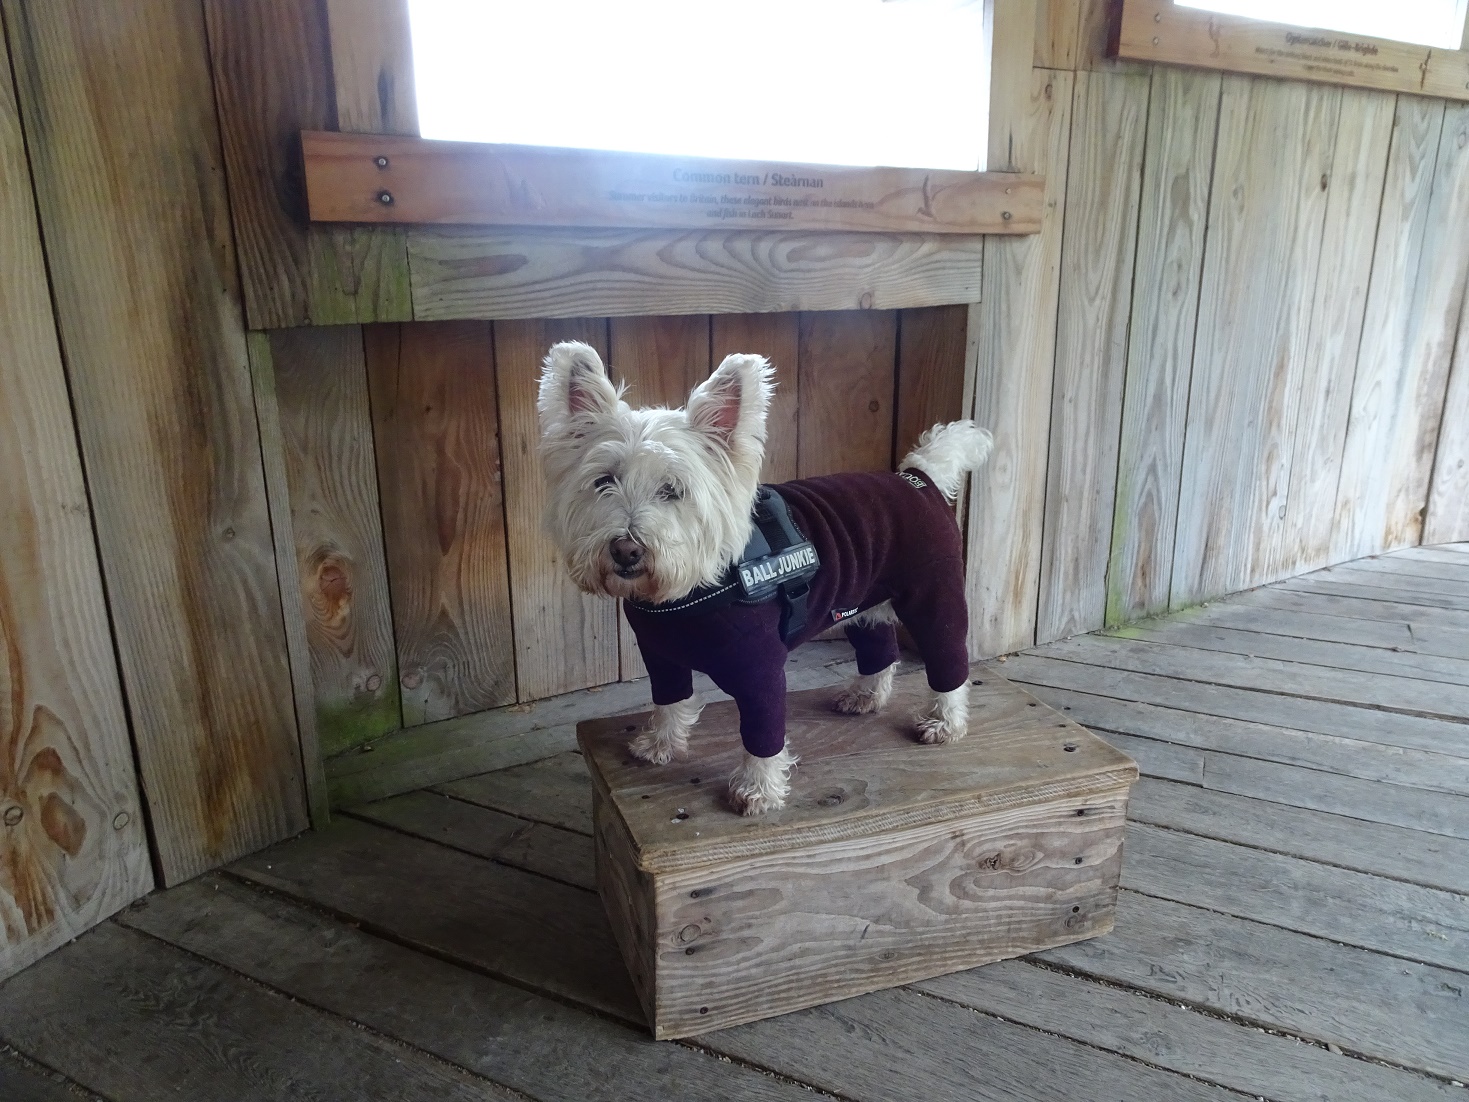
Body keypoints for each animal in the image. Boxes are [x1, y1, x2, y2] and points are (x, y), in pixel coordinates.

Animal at [540, 340, 998, 816]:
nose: (626, 549)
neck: (685, 595)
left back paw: (944, 723)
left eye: (672, 490)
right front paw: (661, 744)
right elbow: (670, 700)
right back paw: (865, 697)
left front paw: (757, 789)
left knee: (950, 661)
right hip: (863, 601)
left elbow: (763, 734)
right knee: (881, 648)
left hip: (933, 597)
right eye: (603, 481)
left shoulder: (760, 669)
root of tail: (917, 475)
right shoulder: (660, 657)